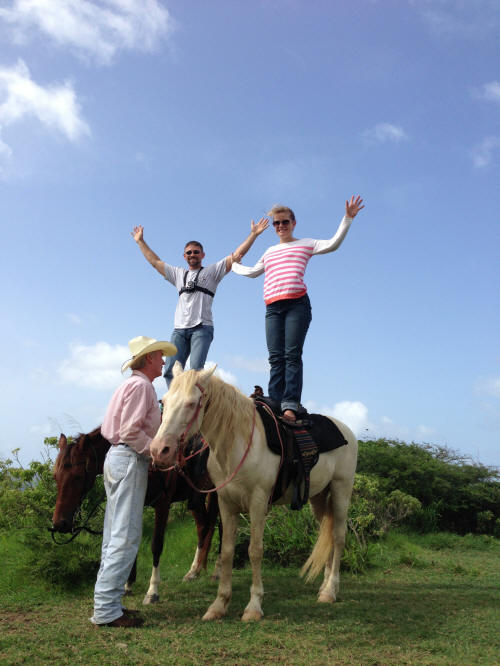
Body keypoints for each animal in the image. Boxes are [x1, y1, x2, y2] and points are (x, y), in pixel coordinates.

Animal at [52, 426, 221, 600]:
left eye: (78, 476)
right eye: (55, 476)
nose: (59, 523)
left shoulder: (163, 504)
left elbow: (156, 545)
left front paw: (152, 590)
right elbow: (130, 538)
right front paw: (128, 585)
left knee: (221, 528)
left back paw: (215, 571)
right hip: (197, 499)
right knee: (203, 526)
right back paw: (194, 571)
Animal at [150, 364, 358, 616]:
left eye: (191, 403)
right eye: (164, 401)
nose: (159, 450)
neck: (236, 445)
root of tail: (346, 431)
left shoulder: (258, 503)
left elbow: (255, 550)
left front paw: (254, 605)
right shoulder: (226, 504)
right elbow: (227, 551)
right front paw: (219, 604)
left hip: (341, 490)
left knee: (338, 537)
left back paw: (331, 590)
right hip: (318, 497)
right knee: (326, 533)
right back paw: (324, 587)